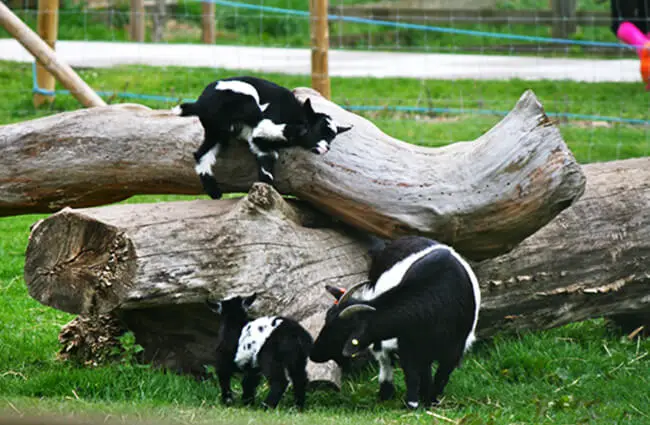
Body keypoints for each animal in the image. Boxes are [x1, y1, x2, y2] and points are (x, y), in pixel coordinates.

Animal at [172, 76, 350, 199]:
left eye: (332, 138)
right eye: (319, 130)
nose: (327, 148)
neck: (294, 113)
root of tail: (200, 103)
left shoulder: (263, 147)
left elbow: (266, 163)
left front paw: (266, 190)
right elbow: (263, 131)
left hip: (216, 132)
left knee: (202, 154)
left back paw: (214, 192)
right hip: (243, 99)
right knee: (257, 118)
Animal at [308, 235, 480, 408]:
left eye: (342, 332)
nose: (313, 352)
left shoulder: (454, 350)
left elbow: (441, 377)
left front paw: (430, 400)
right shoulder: (408, 343)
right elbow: (412, 373)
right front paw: (413, 403)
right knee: (384, 358)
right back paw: (386, 391)